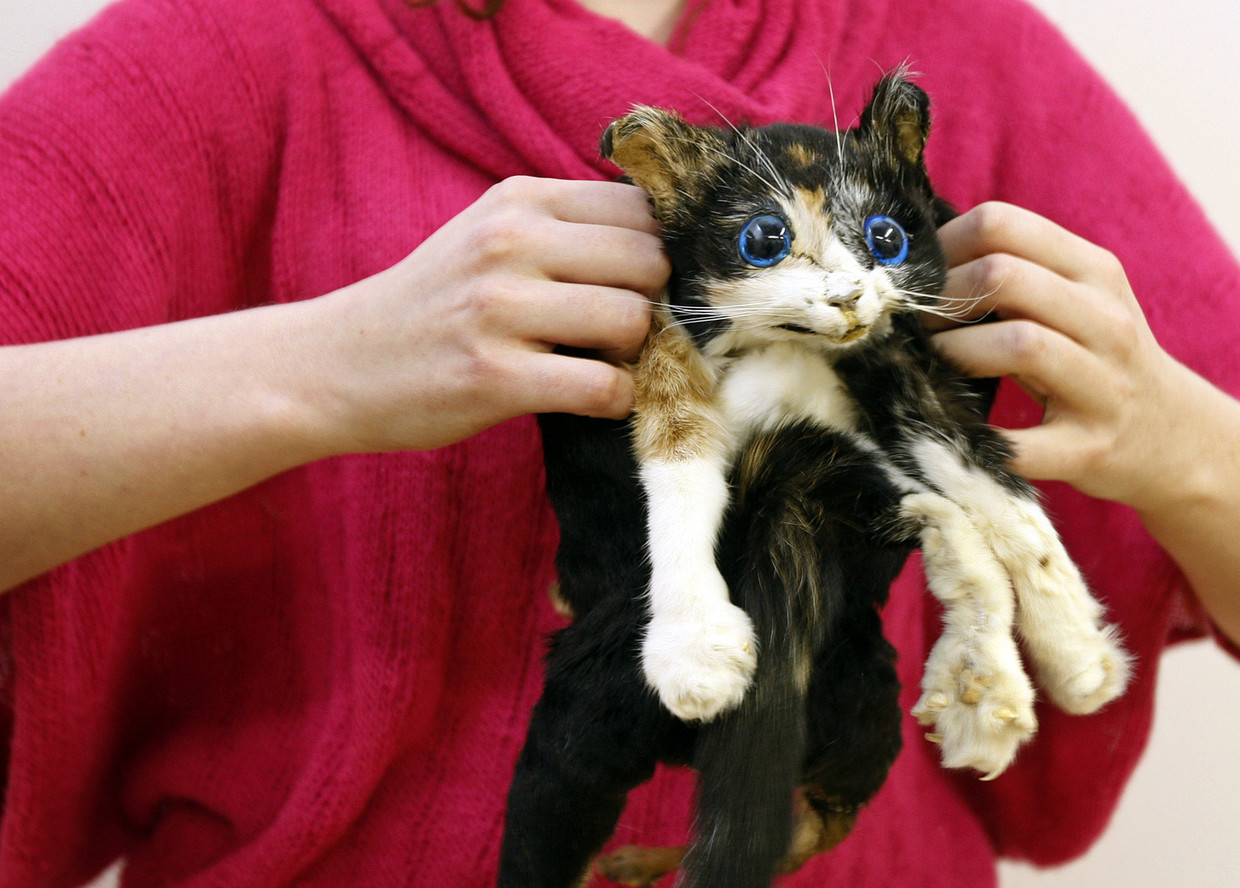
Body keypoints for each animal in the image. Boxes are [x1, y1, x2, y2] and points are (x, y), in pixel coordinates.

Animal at [496, 71, 1135, 887]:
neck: (793, 349)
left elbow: (983, 481)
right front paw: (694, 645)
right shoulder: (658, 330)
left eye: (887, 238)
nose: (847, 297)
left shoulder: (899, 366)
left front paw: (1075, 649)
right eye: (764, 240)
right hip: (579, 737)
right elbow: (679, 450)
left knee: (819, 819)